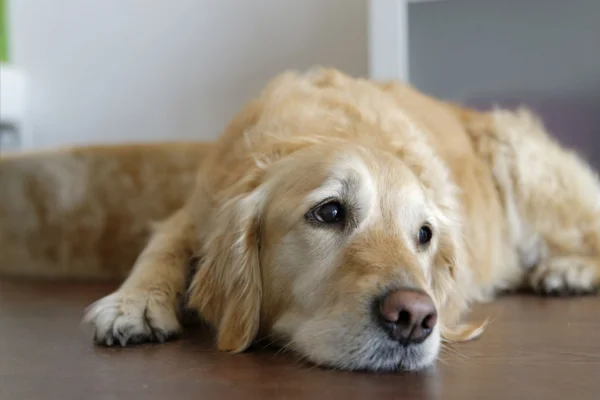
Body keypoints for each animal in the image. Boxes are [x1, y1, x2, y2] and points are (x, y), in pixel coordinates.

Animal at [2, 68, 596, 372]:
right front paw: (135, 303)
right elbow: (161, 245)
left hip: (522, 162)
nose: (414, 318)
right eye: (329, 211)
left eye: (424, 235)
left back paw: (566, 270)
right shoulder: (195, 210)